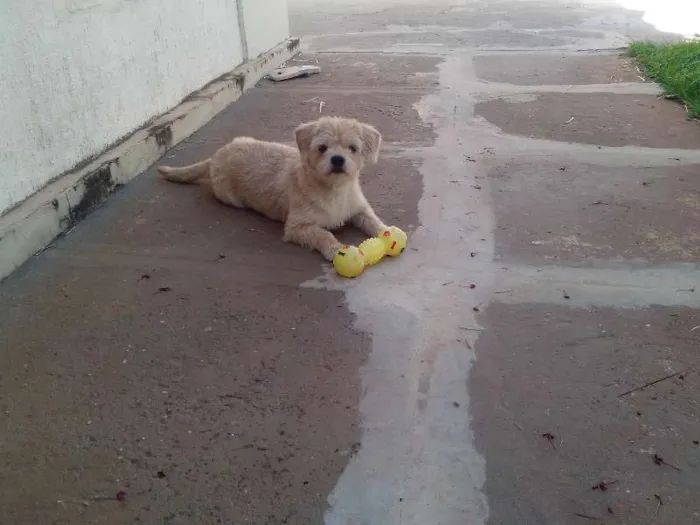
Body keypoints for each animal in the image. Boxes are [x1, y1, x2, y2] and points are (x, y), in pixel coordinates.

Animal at [158, 116, 388, 260]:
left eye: (353, 148)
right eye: (322, 148)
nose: (338, 159)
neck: (334, 190)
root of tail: (216, 156)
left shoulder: (359, 209)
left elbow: (373, 220)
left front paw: (386, 232)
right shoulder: (297, 227)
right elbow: (323, 234)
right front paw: (336, 248)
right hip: (230, 197)